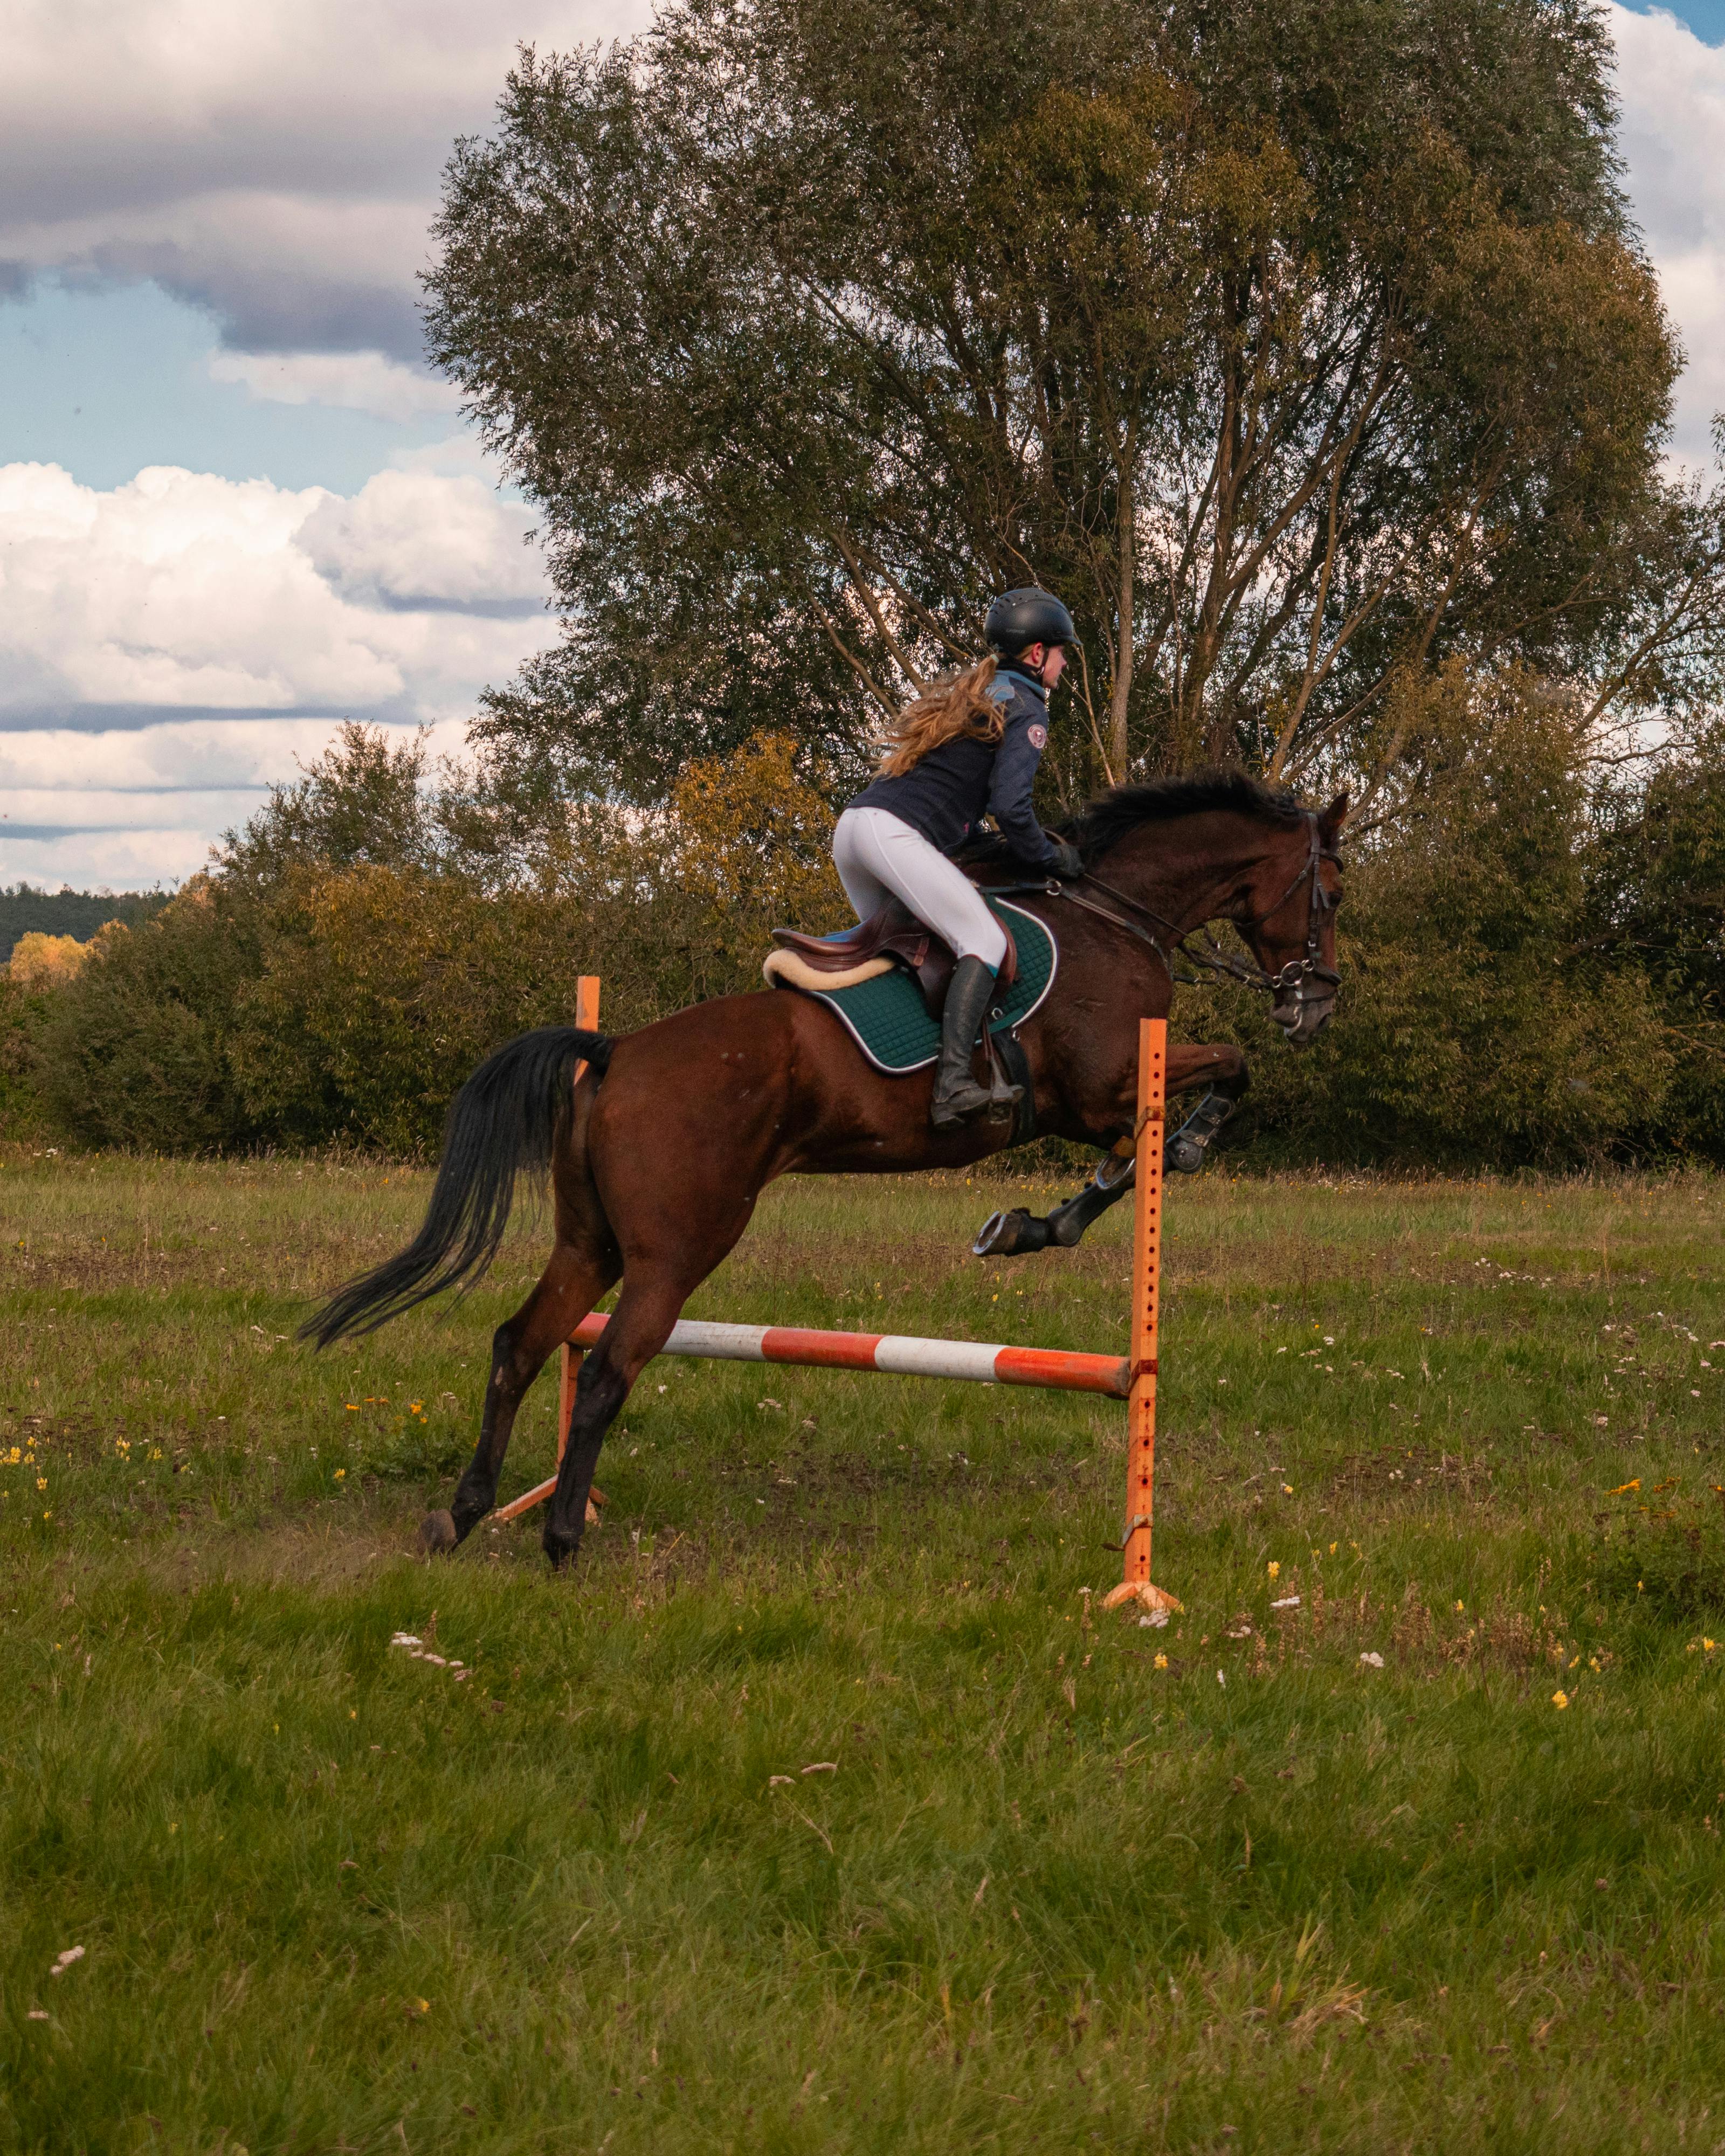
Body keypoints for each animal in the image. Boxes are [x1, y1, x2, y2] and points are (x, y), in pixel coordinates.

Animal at [304, 772, 1337, 1570]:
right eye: (1330, 891)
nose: (1317, 1006)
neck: (1115, 918)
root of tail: (617, 1049)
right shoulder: (1104, 1089)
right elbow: (1208, 1090)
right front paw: (1136, 1174)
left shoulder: (1104, 1103)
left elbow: (1139, 1154)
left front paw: (1030, 1225)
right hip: (679, 1249)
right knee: (601, 1369)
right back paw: (561, 1539)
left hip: (588, 1242)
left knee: (521, 1346)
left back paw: (464, 1515)